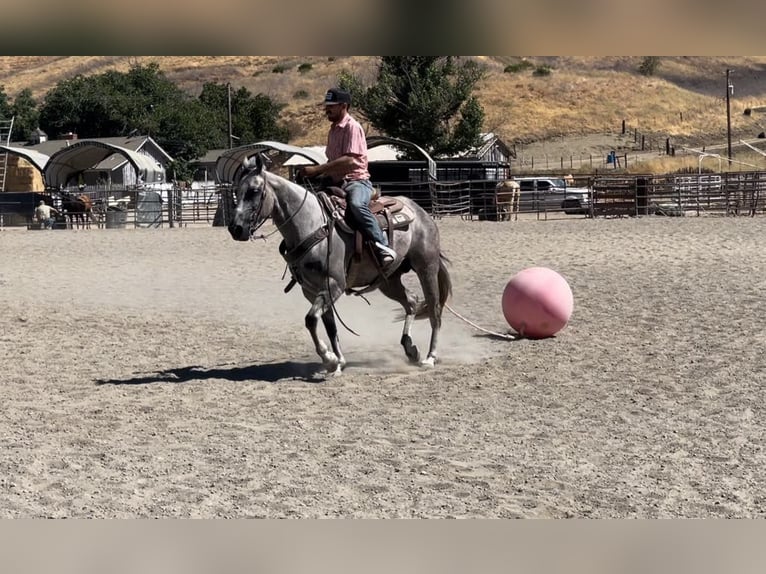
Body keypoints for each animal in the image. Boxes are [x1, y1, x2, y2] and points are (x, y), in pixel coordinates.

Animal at [228, 155, 456, 376]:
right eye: (236, 191)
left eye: (254, 191)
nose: (235, 229)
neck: (311, 223)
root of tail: (419, 211)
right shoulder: (312, 290)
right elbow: (330, 327)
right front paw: (338, 362)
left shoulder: (334, 284)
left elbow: (311, 319)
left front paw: (328, 358)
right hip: (388, 280)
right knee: (411, 301)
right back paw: (410, 348)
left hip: (426, 267)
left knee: (434, 310)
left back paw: (430, 357)